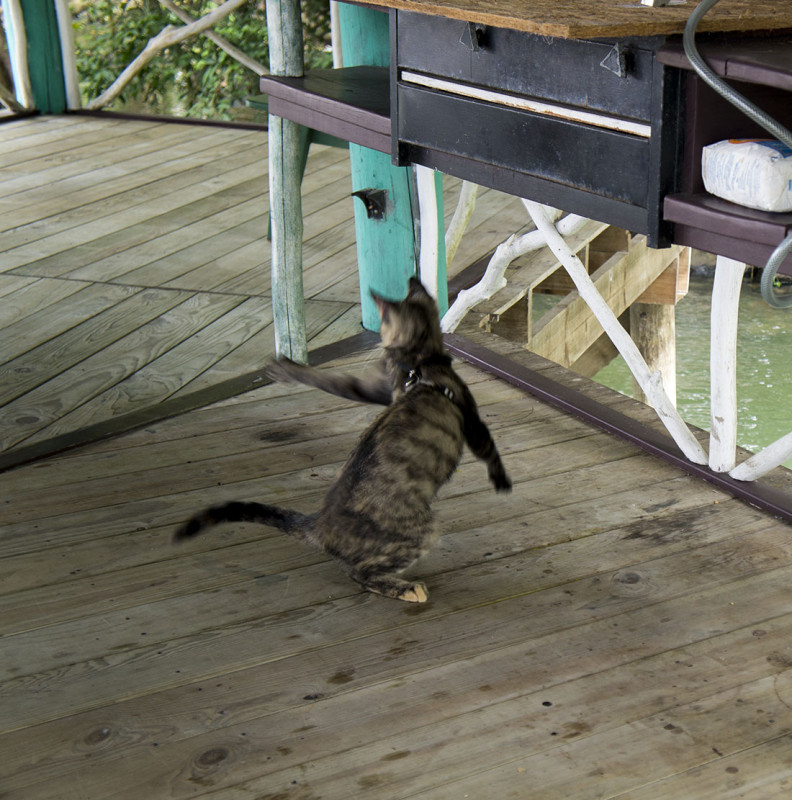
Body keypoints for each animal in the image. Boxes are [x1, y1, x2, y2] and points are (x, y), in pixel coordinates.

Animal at [175, 276, 512, 600]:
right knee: (359, 573)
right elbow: (490, 450)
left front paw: (289, 369)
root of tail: (318, 524)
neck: (419, 361)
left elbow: (335, 382)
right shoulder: (472, 420)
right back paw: (406, 589)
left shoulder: (378, 387)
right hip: (422, 531)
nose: (379, 338)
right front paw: (502, 483)